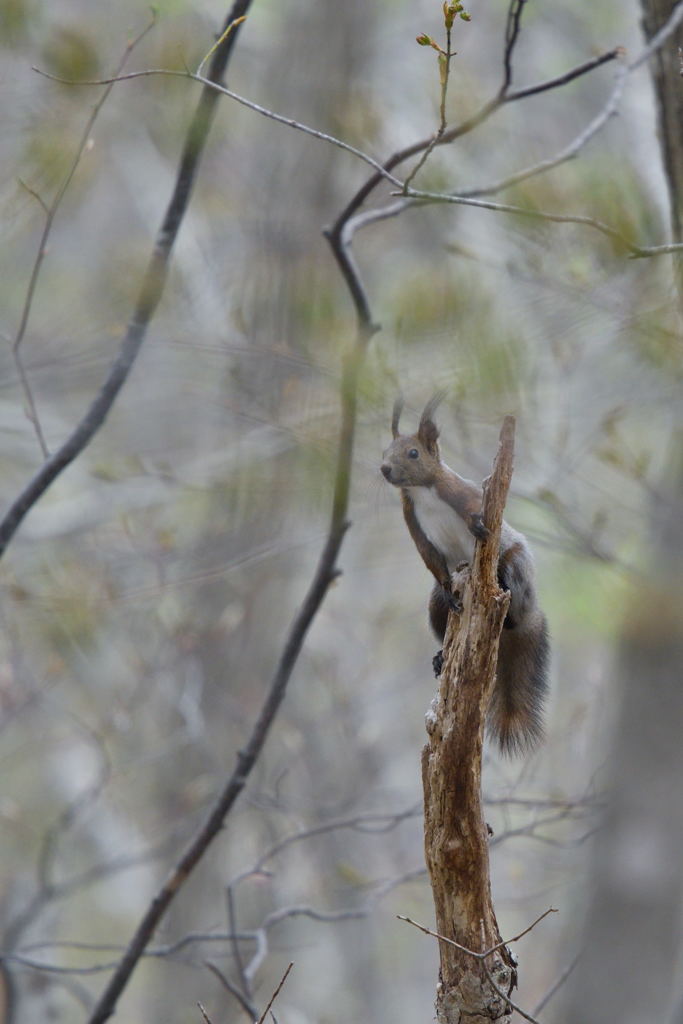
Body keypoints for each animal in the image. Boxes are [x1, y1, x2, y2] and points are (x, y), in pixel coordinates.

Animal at [378, 395, 548, 757]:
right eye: (385, 450)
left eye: (413, 453)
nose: (384, 469)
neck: (422, 490)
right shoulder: (412, 520)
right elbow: (429, 558)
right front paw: (447, 588)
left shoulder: (459, 491)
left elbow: (477, 509)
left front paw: (476, 525)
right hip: (435, 609)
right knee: (440, 619)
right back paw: (441, 657)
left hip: (517, 569)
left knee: (512, 590)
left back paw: (505, 594)